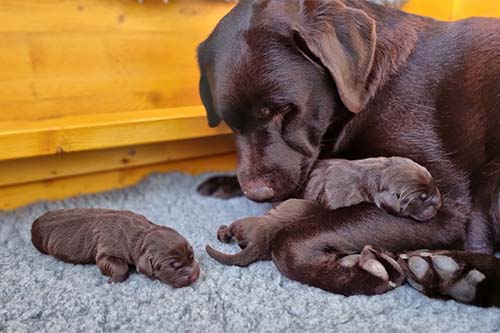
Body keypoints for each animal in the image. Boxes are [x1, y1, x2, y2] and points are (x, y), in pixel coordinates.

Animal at [30, 209, 199, 286]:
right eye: (173, 265)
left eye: (192, 256)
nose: (194, 275)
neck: (142, 235)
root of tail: (34, 221)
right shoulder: (106, 250)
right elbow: (118, 266)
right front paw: (113, 279)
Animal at [196, 0, 500, 306]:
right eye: (229, 122)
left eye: (282, 110)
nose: (257, 194)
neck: (372, 90)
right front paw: (222, 181)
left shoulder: (442, 207)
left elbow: (289, 239)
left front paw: (360, 274)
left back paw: (452, 271)